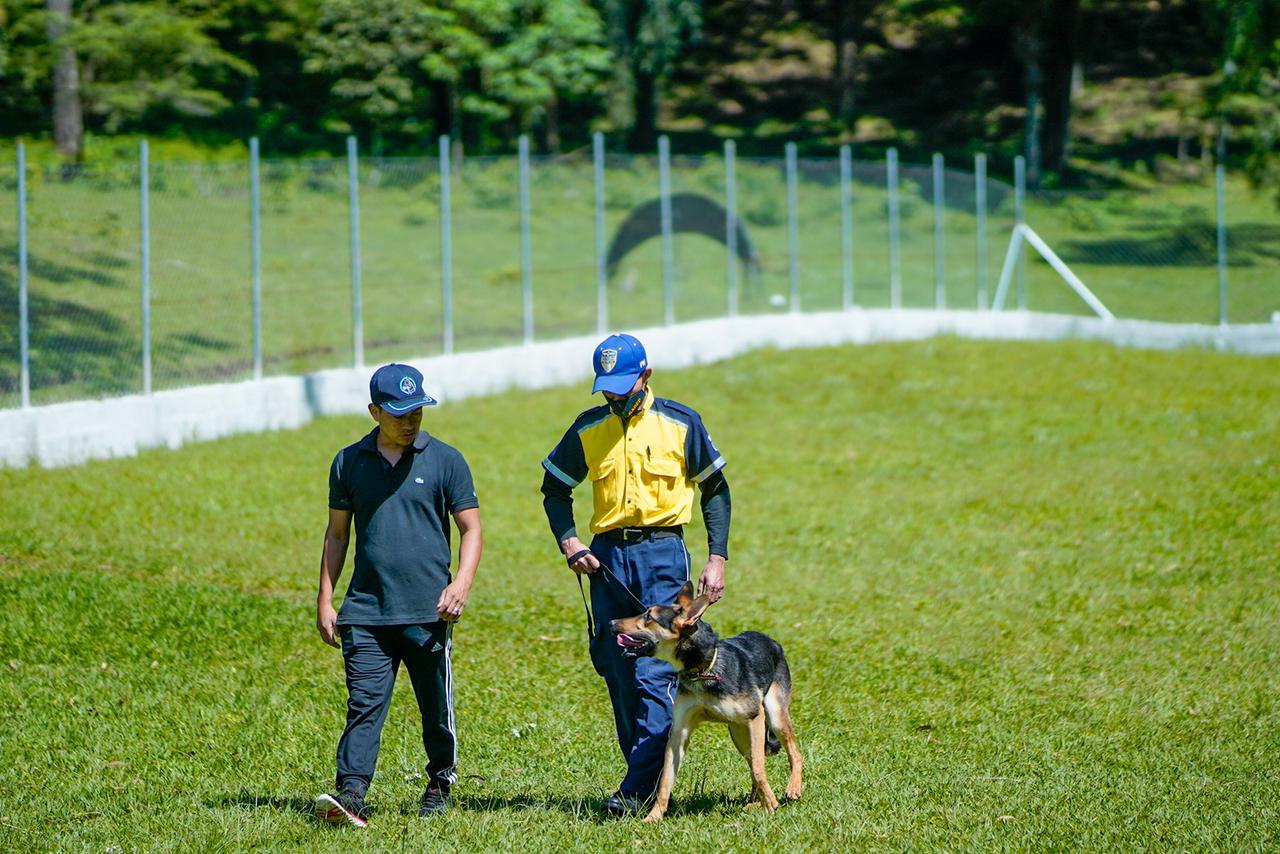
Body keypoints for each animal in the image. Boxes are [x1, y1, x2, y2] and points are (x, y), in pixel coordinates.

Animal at [609, 581, 798, 819]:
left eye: (648, 616)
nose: (610, 623)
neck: (702, 670)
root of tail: (772, 642)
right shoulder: (679, 732)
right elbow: (665, 780)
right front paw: (653, 817)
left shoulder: (755, 717)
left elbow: (758, 767)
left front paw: (772, 803)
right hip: (739, 733)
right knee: (754, 760)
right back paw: (755, 802)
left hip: (774, 715)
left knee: (792, 752)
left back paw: (792, 789)